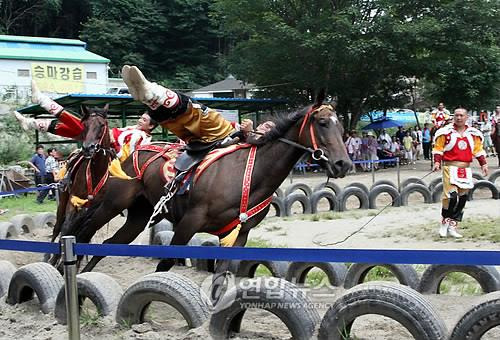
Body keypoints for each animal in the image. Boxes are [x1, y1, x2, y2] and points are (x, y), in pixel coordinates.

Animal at [60, 93, 350, 284]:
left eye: (342, 126)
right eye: (323, 123)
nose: (342, 163)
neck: (248, 173)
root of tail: (129, 152)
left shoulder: (238, 235)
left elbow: (222, 273)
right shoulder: (189, 223)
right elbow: (164, 264)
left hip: (138, 216)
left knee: (108, 243)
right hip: (111, 205)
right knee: (83, 233)